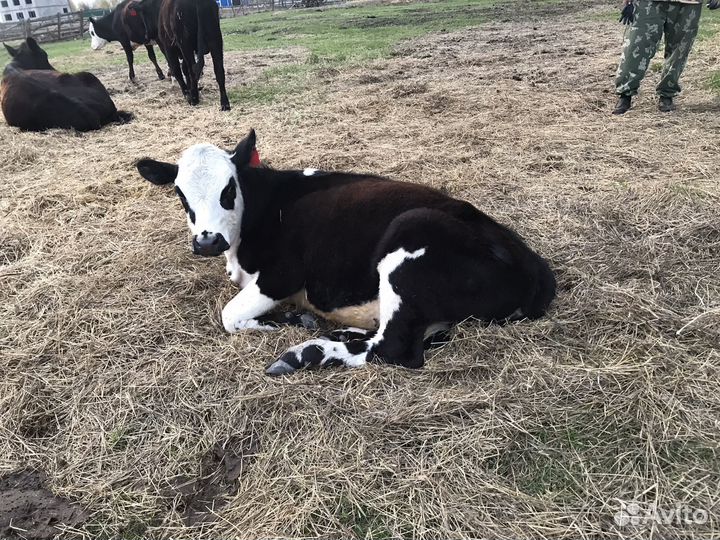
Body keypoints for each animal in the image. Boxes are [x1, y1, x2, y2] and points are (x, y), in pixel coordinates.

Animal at [136, 130, 556, 376]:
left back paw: (306, 353)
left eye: (228, 189)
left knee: (395, 349)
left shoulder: (282, 275)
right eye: (180, 193)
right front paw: (294, 318)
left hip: (409, 241)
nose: (208, 241)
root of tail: (535, 266)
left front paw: (281, 323)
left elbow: (229, 315)